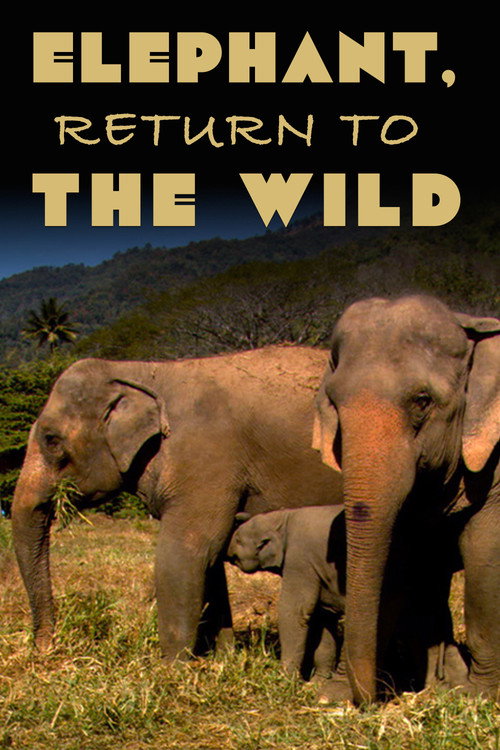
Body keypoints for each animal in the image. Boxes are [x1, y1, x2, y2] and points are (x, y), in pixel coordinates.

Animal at [11, 346, 342, 659]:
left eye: (51, 439)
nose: (45, 649)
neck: (141, 371)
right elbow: (213, 557)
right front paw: (220, 656)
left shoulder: (205, 458)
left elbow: (186, 553)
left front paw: (169, 667)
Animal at [313, 294, 499, 704]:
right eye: (333, 402)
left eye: (422, 400)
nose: (370, 698)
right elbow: (398, 560)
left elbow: (484, 554)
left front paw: (479, 696)